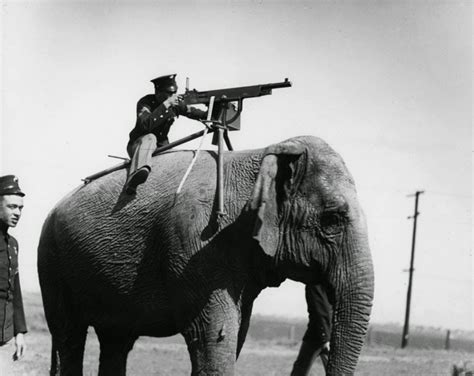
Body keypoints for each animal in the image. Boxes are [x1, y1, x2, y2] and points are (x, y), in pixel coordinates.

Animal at [37, 136, 374, 376]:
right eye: (332, 219)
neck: (264, 155)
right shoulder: (195, 242)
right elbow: (214, 335)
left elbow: (237, 332)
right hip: (51, 263)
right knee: (69, 336)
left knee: (115, 342)